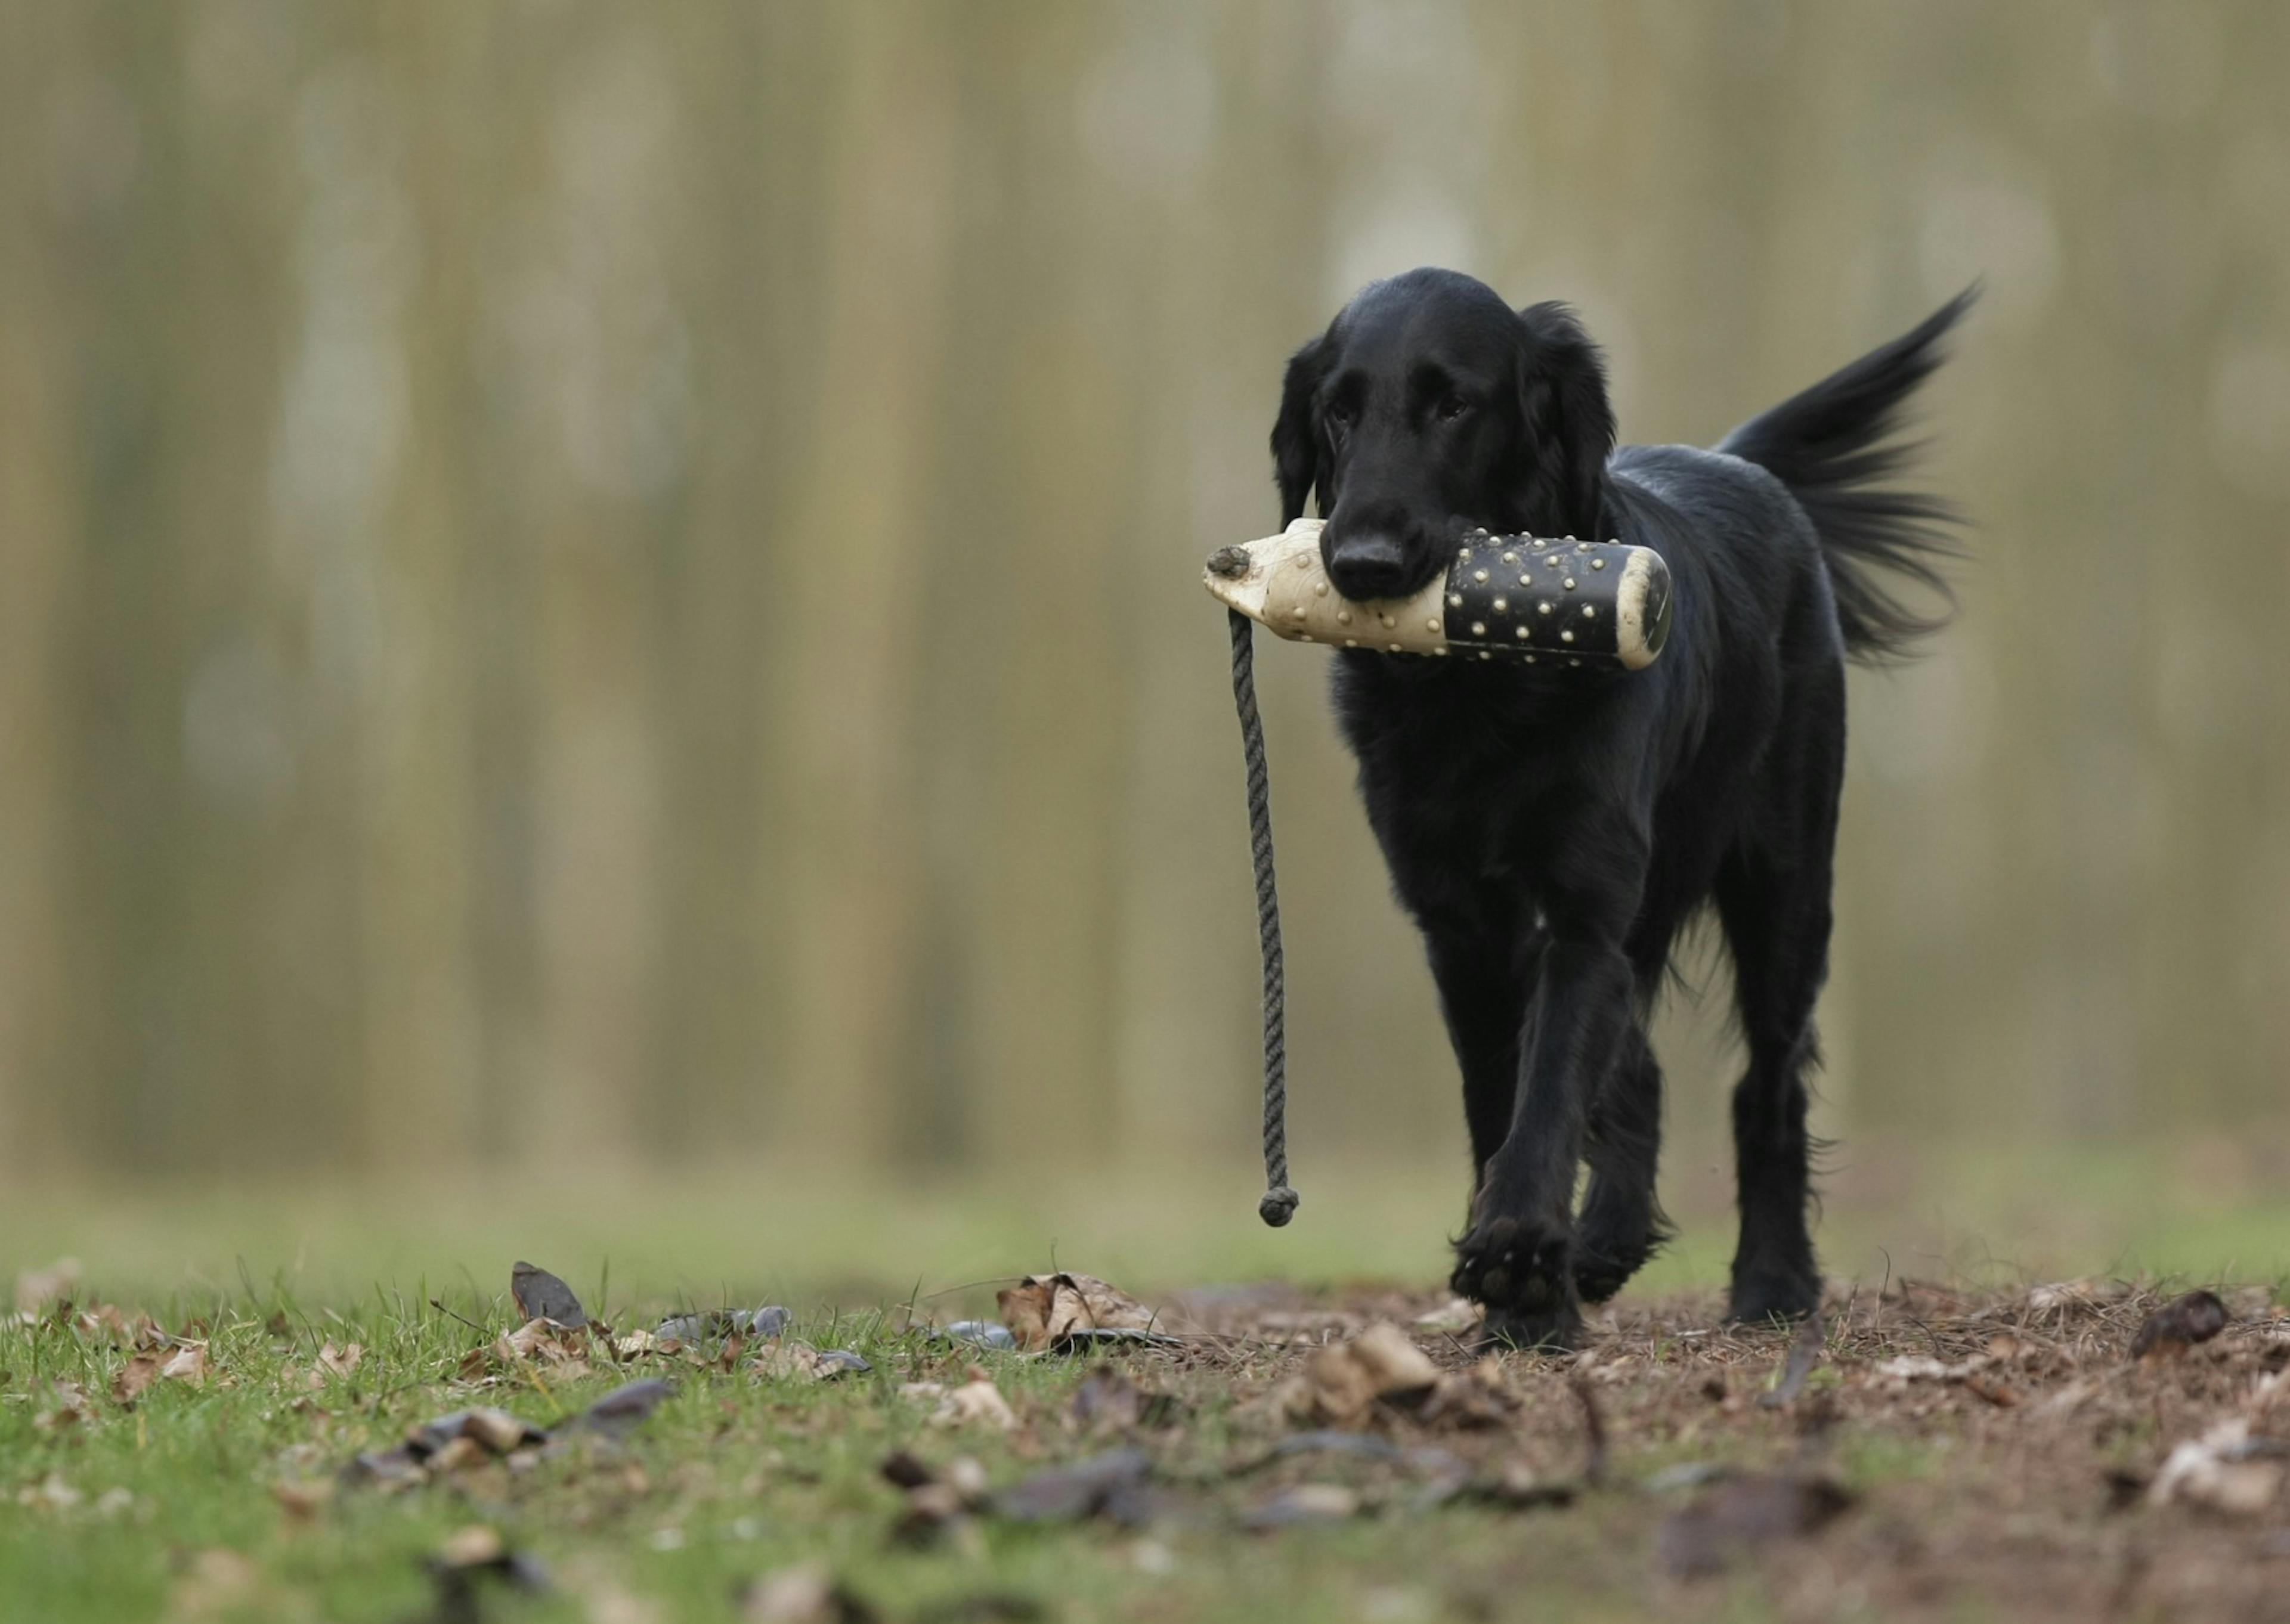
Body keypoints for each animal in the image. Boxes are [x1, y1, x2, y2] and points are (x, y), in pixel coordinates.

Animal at [1273, 265, 1969, 1347]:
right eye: (1339, 410)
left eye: (1454, 405)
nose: (1364, 563)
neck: (1482, 692)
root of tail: (1739, 463)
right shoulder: (1460, 925)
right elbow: (1504, 1095)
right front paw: (1527, 1292)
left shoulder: (1583, 906)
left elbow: (1552, 1086)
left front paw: (1519, 1259)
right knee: (1639, 1071)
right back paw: (1604, 1242)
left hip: (1785, 884)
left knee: (1767, 1085)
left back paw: (1772, 1285)